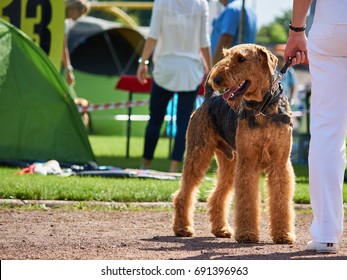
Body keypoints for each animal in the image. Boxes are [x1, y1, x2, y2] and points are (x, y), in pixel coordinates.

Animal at [174, 43, 296, 243]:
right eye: (227, 56)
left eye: (241, 58)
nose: (217, 78)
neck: (262, 107)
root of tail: (210, 97)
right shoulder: (248, 162)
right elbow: (247, 200)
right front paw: (247, 234)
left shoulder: (280, 163)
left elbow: (281, 200)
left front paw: (283, 235)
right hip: (198, 154)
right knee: (184, 193)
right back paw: (183, 228)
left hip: (229, 162)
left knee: (216, 196)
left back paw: (221, 229)